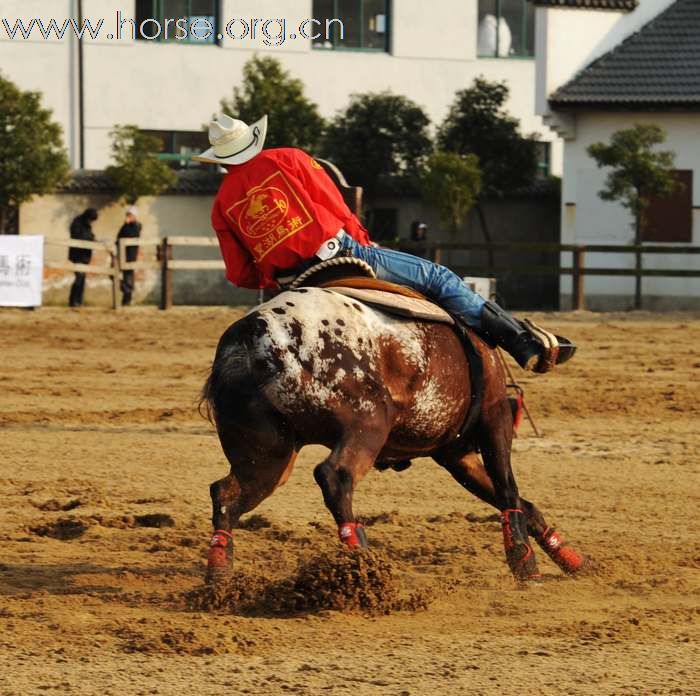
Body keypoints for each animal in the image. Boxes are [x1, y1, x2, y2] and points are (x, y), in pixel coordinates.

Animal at [202, 286, 584, 580]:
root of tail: (254, 332)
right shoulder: (494, 417)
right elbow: (508, 490)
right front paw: (525, 564)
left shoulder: (455, 453)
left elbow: (520, 501)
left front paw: (571, 560)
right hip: (368, 423)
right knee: (334, 476)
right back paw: (364, 563)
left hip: (268, 456)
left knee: (227, 492)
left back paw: (220, 574)